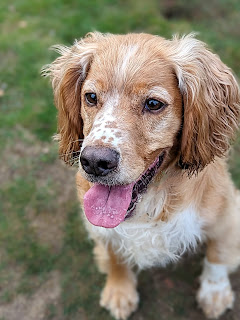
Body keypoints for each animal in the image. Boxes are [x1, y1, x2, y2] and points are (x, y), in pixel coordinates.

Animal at [43, 33, 240, 320]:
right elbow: (114, 255)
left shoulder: (228, 214)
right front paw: (119, 290)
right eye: (90, 97)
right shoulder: (100, 228)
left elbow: (218, 254)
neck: (152, 203)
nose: (94, 162)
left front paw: (214, 293)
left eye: (153, 104)